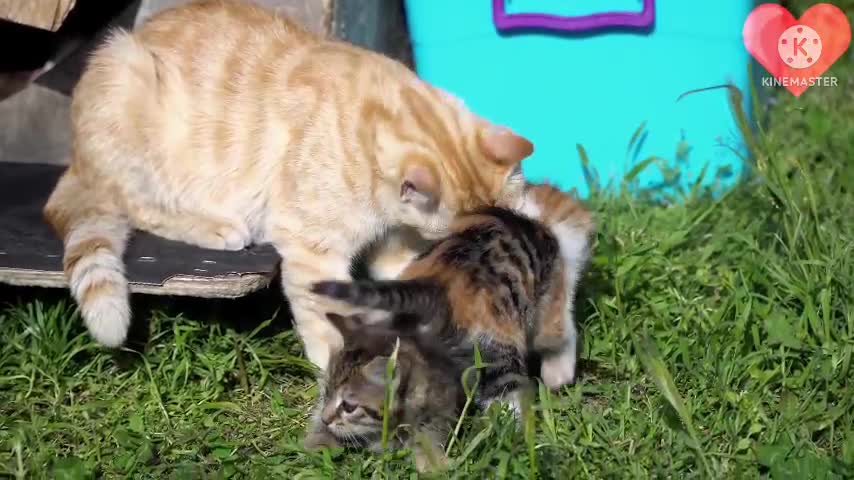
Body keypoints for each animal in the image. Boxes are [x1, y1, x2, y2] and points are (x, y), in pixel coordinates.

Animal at [43, 0, 536, 372]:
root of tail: (74, 159)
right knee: (138, 206)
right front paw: (337, 363)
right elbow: (325, 316)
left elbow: (405, 266)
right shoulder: (313, 251)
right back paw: (214, 226)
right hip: (129, 90)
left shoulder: (390, 235)